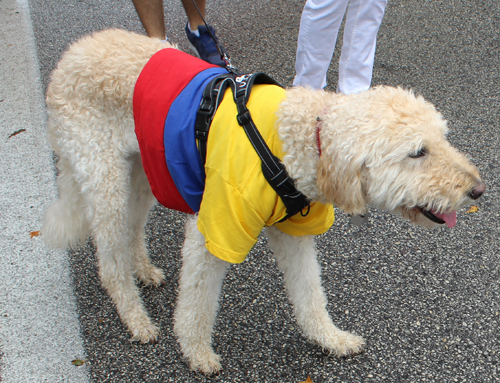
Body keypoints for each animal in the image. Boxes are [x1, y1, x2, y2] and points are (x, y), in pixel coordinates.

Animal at [44, 30, 484, 376]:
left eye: (442, 138)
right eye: (417, 152)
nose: (478, 190)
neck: (297, 140)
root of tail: (71, 55)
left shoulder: (294, 230)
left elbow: (309, 294)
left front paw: (330, 338)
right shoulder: (214, 230)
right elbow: (197, 303)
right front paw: (196, 351)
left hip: (141, 172)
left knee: (133, 229)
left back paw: (144, 270)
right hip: (105, 180)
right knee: (109, 262)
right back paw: (136, 318)